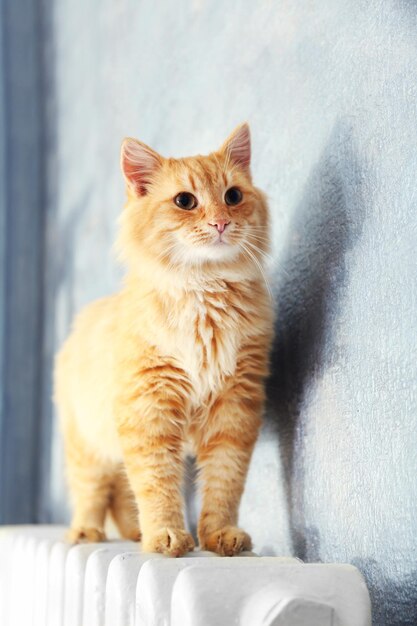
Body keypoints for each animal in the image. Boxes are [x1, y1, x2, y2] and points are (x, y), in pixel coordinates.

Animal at [52, 123, 272, 556]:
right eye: (185, 201)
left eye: (233, 197)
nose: (221, 223)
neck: (205, 291)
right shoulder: (148, 409)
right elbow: (157, 485)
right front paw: (167, 536)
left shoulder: (234, 408)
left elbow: (223, 484)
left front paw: (219, 535)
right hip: (85, 442)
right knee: (91, 492)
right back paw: (87, 532)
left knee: (121, 493)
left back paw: (134, 533)